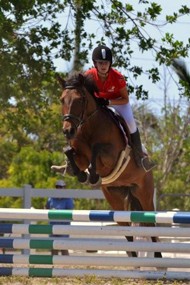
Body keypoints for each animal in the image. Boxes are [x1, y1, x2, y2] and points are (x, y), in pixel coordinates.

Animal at [54, 71, 162, 258]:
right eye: (62, 99)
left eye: (79, 100)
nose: (68, 131)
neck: (89, 126)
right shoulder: (80, 156)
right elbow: (70, 152)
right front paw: (81, 174)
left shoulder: (111, 156)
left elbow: (97, 151)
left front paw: (93, 176)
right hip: (115, 197)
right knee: (127, 230)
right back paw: (133, 257)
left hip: (144, 193)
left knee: (151, 226)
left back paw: (157, 257)